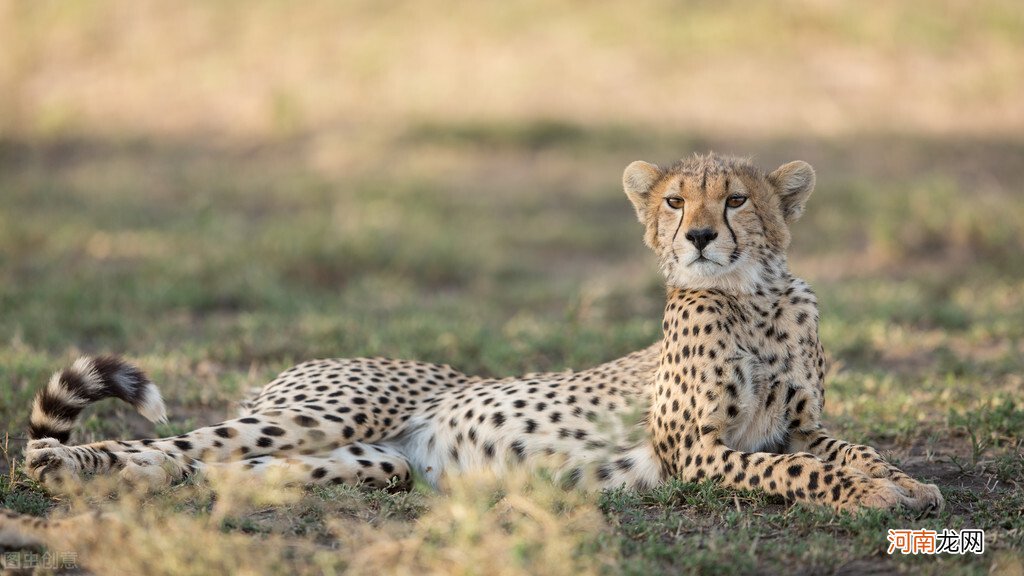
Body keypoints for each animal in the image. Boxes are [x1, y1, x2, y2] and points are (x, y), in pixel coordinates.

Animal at [9, 153, 937, 520]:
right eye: (677, 201)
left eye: (736, 199)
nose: (703, 236)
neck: (757, 298)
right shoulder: (694, 451)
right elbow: (792, 470)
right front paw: (875, 493)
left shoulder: (801, 422)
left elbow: (843, 448)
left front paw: (904, 483)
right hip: (315, 415)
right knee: (156, 448)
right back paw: (64, 468)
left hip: (368, 461)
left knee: (215, 470)